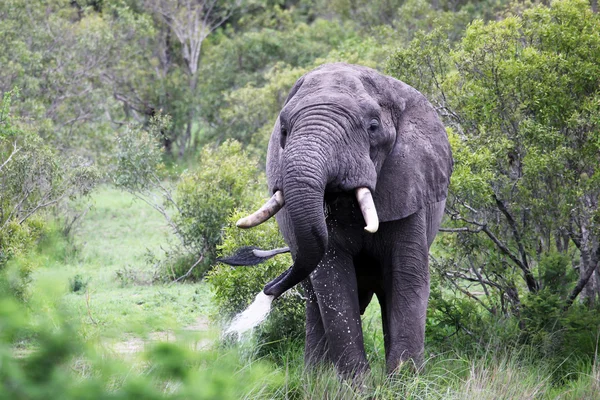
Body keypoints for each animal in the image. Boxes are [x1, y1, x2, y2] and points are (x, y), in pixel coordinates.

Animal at [234, 63, 450, 378]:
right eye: (284, 130)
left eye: (373, 127)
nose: (268, 291)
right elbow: (333, 281)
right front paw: (357, 384)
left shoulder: (409, 185)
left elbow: (408, 275)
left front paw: (405, 382)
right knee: (314, 298)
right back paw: (314, 377)